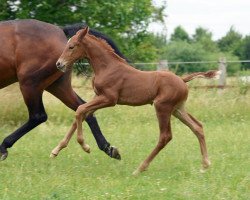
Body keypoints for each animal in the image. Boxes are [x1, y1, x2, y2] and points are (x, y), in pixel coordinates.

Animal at [0, 19, 127, 161]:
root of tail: (60, 30)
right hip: (57, 86)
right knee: (83, 108)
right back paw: (107, 148)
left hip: (30, 83)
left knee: (38, 116)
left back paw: (3, 146)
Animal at [55, 27, 219, 175]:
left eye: (71, 46)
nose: (59, 64)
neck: (107, 67)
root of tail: (182, 80)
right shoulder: (98, 97)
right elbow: (82, 112)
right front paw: (56, 149)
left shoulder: (109, 99)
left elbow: (80, 110)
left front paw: (85, 146)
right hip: (177, 109)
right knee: (197, 126)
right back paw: (205, 165)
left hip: (162, 107)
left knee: (165, 136)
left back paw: (140, 169)